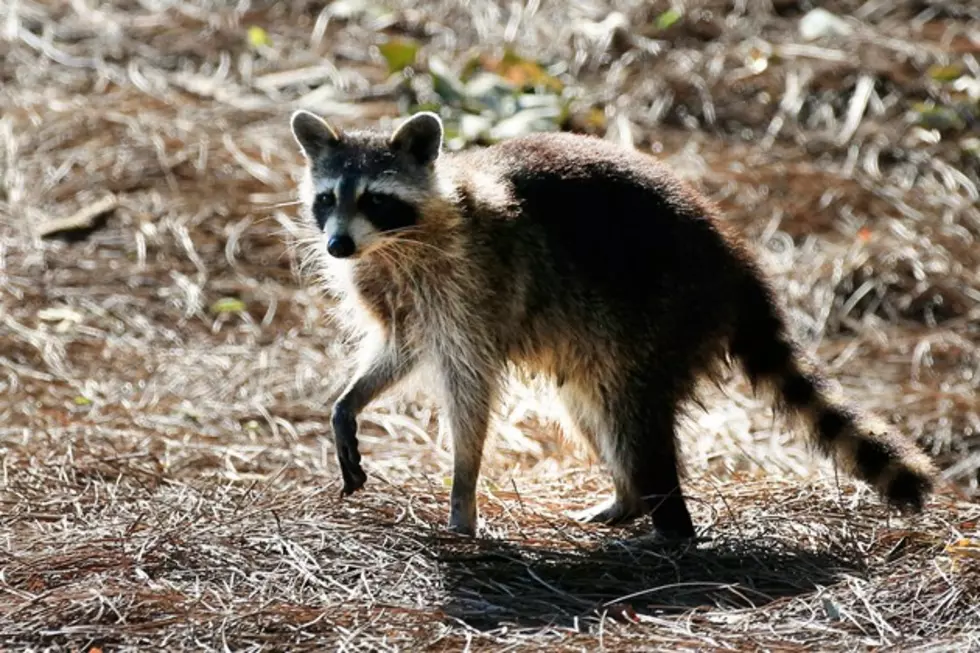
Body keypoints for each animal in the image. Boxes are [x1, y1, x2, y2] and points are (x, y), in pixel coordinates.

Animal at [288, 111, 936, 536]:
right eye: (327, 199)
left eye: (375, 199)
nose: (338, 245)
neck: (391, 245)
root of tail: (736, 260)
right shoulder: (399, 296)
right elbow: (400, 349)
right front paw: (349, 401)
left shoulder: (471, 289)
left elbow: (470, 393)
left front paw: (463, 489)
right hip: (599, 341)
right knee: (591, 408)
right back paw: (628, 499)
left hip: (664, 313)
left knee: (634, 418)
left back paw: (671, 524)